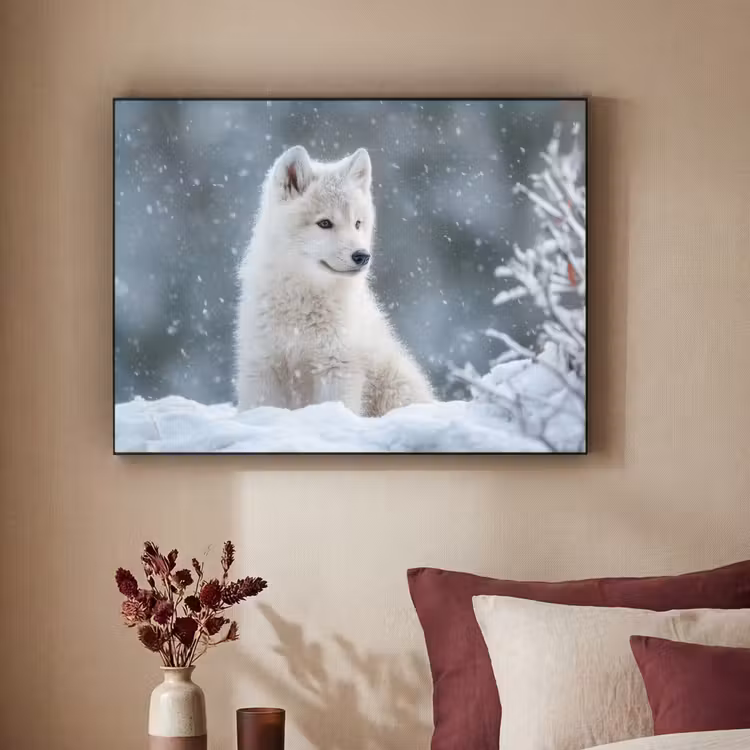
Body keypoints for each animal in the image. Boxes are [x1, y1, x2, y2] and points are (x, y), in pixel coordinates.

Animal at [235, 145, 434, 416]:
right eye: (325, 223)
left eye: (357, 223)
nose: (362, 256)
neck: (302, 303)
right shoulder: (263, 365)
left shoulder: (337, 366)